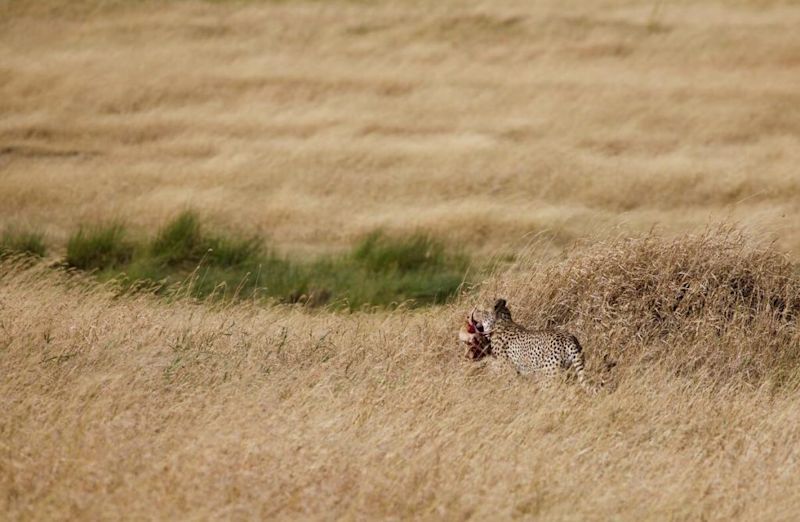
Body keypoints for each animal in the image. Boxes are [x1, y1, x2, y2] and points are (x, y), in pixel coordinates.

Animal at [460, 298, 596, 392]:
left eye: (479, 310)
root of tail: (569, 338)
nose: (467, 316)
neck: (501, 323)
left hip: (550, 376)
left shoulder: (510, 371)